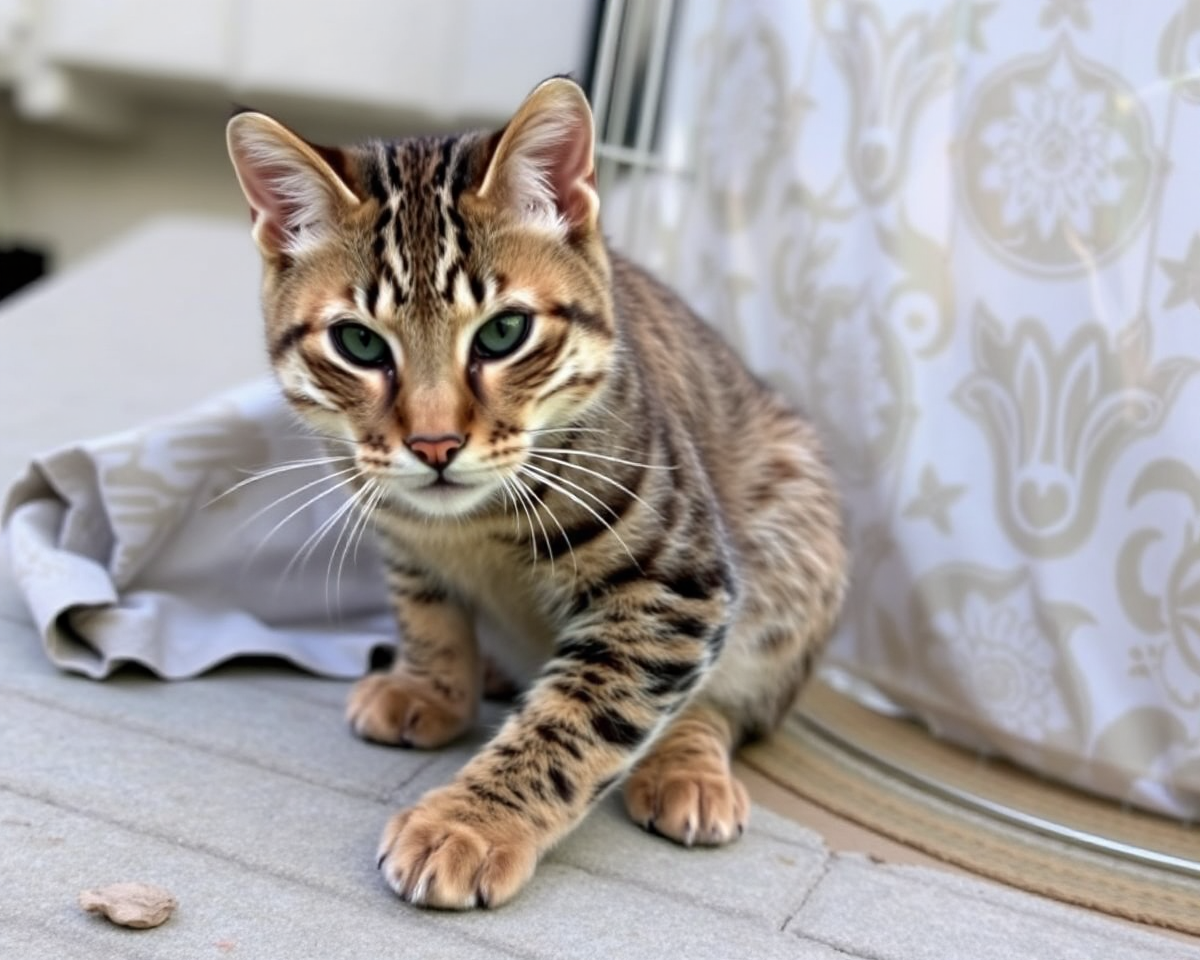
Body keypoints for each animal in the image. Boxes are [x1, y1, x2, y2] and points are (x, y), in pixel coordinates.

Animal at [225, 78, 844, 912]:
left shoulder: (676, 582)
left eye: (502, 333)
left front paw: (471, 824)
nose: (434, 444)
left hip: (794, 540)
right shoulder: (400, 532)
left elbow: (580, 714)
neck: (473, 528)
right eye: (358, 343)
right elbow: (426, 612)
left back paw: (687, 764)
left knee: (727, 696)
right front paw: (434, 685)